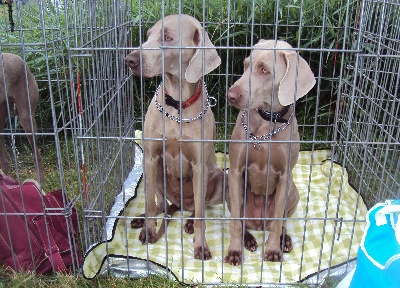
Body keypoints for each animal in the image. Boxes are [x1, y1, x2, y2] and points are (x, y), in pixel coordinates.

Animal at [125, 14, 225, 260]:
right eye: (148, 35)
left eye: (167, 37)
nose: (129, 60)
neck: (177, 105)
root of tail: (181, 204)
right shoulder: (151, 157)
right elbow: (151, 204)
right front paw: (149, 231)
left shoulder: (199, 165)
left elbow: (201, 216)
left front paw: (201, 246)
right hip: (155, 174)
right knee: (161, 205)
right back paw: (144, 219)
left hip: (219, 178)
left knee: (199, 207)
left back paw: (188, 221)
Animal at [225, 38, 316, 266]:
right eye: (246, 65)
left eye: (264, 70)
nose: (230, 96)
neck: (267, 124)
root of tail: (259, 223)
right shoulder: (236, 171)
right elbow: (235, 222)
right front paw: (234, 251)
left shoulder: (284, 176)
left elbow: (276, 221)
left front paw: (274, 249)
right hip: (231, 192)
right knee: (241, 219)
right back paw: (248, 239)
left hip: (293, 191)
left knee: (280, 220)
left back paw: (284, 239)